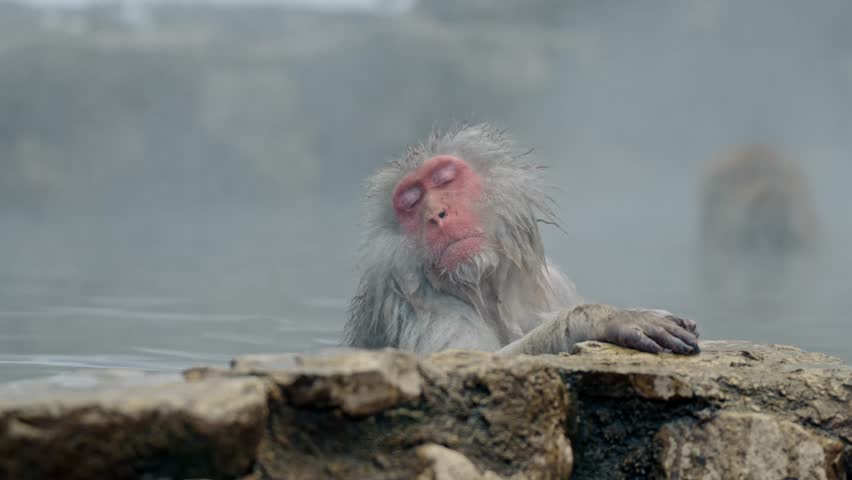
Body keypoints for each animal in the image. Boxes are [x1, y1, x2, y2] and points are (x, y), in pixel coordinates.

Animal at [343, 124, 699, 356]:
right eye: (411, 202)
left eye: (445, 179)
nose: (436, 215)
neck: (485, 293)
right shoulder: (425, 310)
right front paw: (603, 319)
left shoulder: (553, 281)